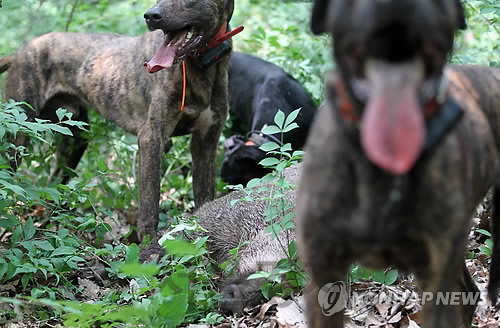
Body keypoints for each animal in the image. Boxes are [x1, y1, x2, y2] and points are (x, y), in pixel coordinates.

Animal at [0, 0, 236, 237]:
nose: (151, 16)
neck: (202, 67)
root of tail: (21, 52)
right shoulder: (152, 138)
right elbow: (150, 205)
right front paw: (149, 246)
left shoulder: (206, 141)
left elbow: (205, 197)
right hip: (17, 134)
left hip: (75, 141)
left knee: (54, 186)